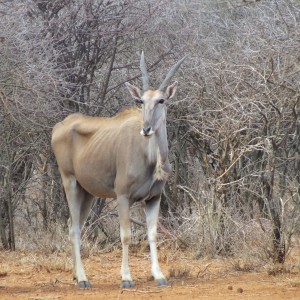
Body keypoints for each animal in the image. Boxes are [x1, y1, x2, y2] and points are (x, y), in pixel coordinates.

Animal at [52, 52, 185, 290]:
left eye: (161, 100)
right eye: (141, 101)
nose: (146, 129)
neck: (151, 158)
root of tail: (59, 127)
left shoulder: (154, 198)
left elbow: (152, 234)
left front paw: (159, 275)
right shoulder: (123, 196)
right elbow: (125, 235)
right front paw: (126, 278)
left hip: (88, 193)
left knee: (73, 225)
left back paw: (77, 275)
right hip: (70, 182)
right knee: (75, 228)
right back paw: (83, 279)